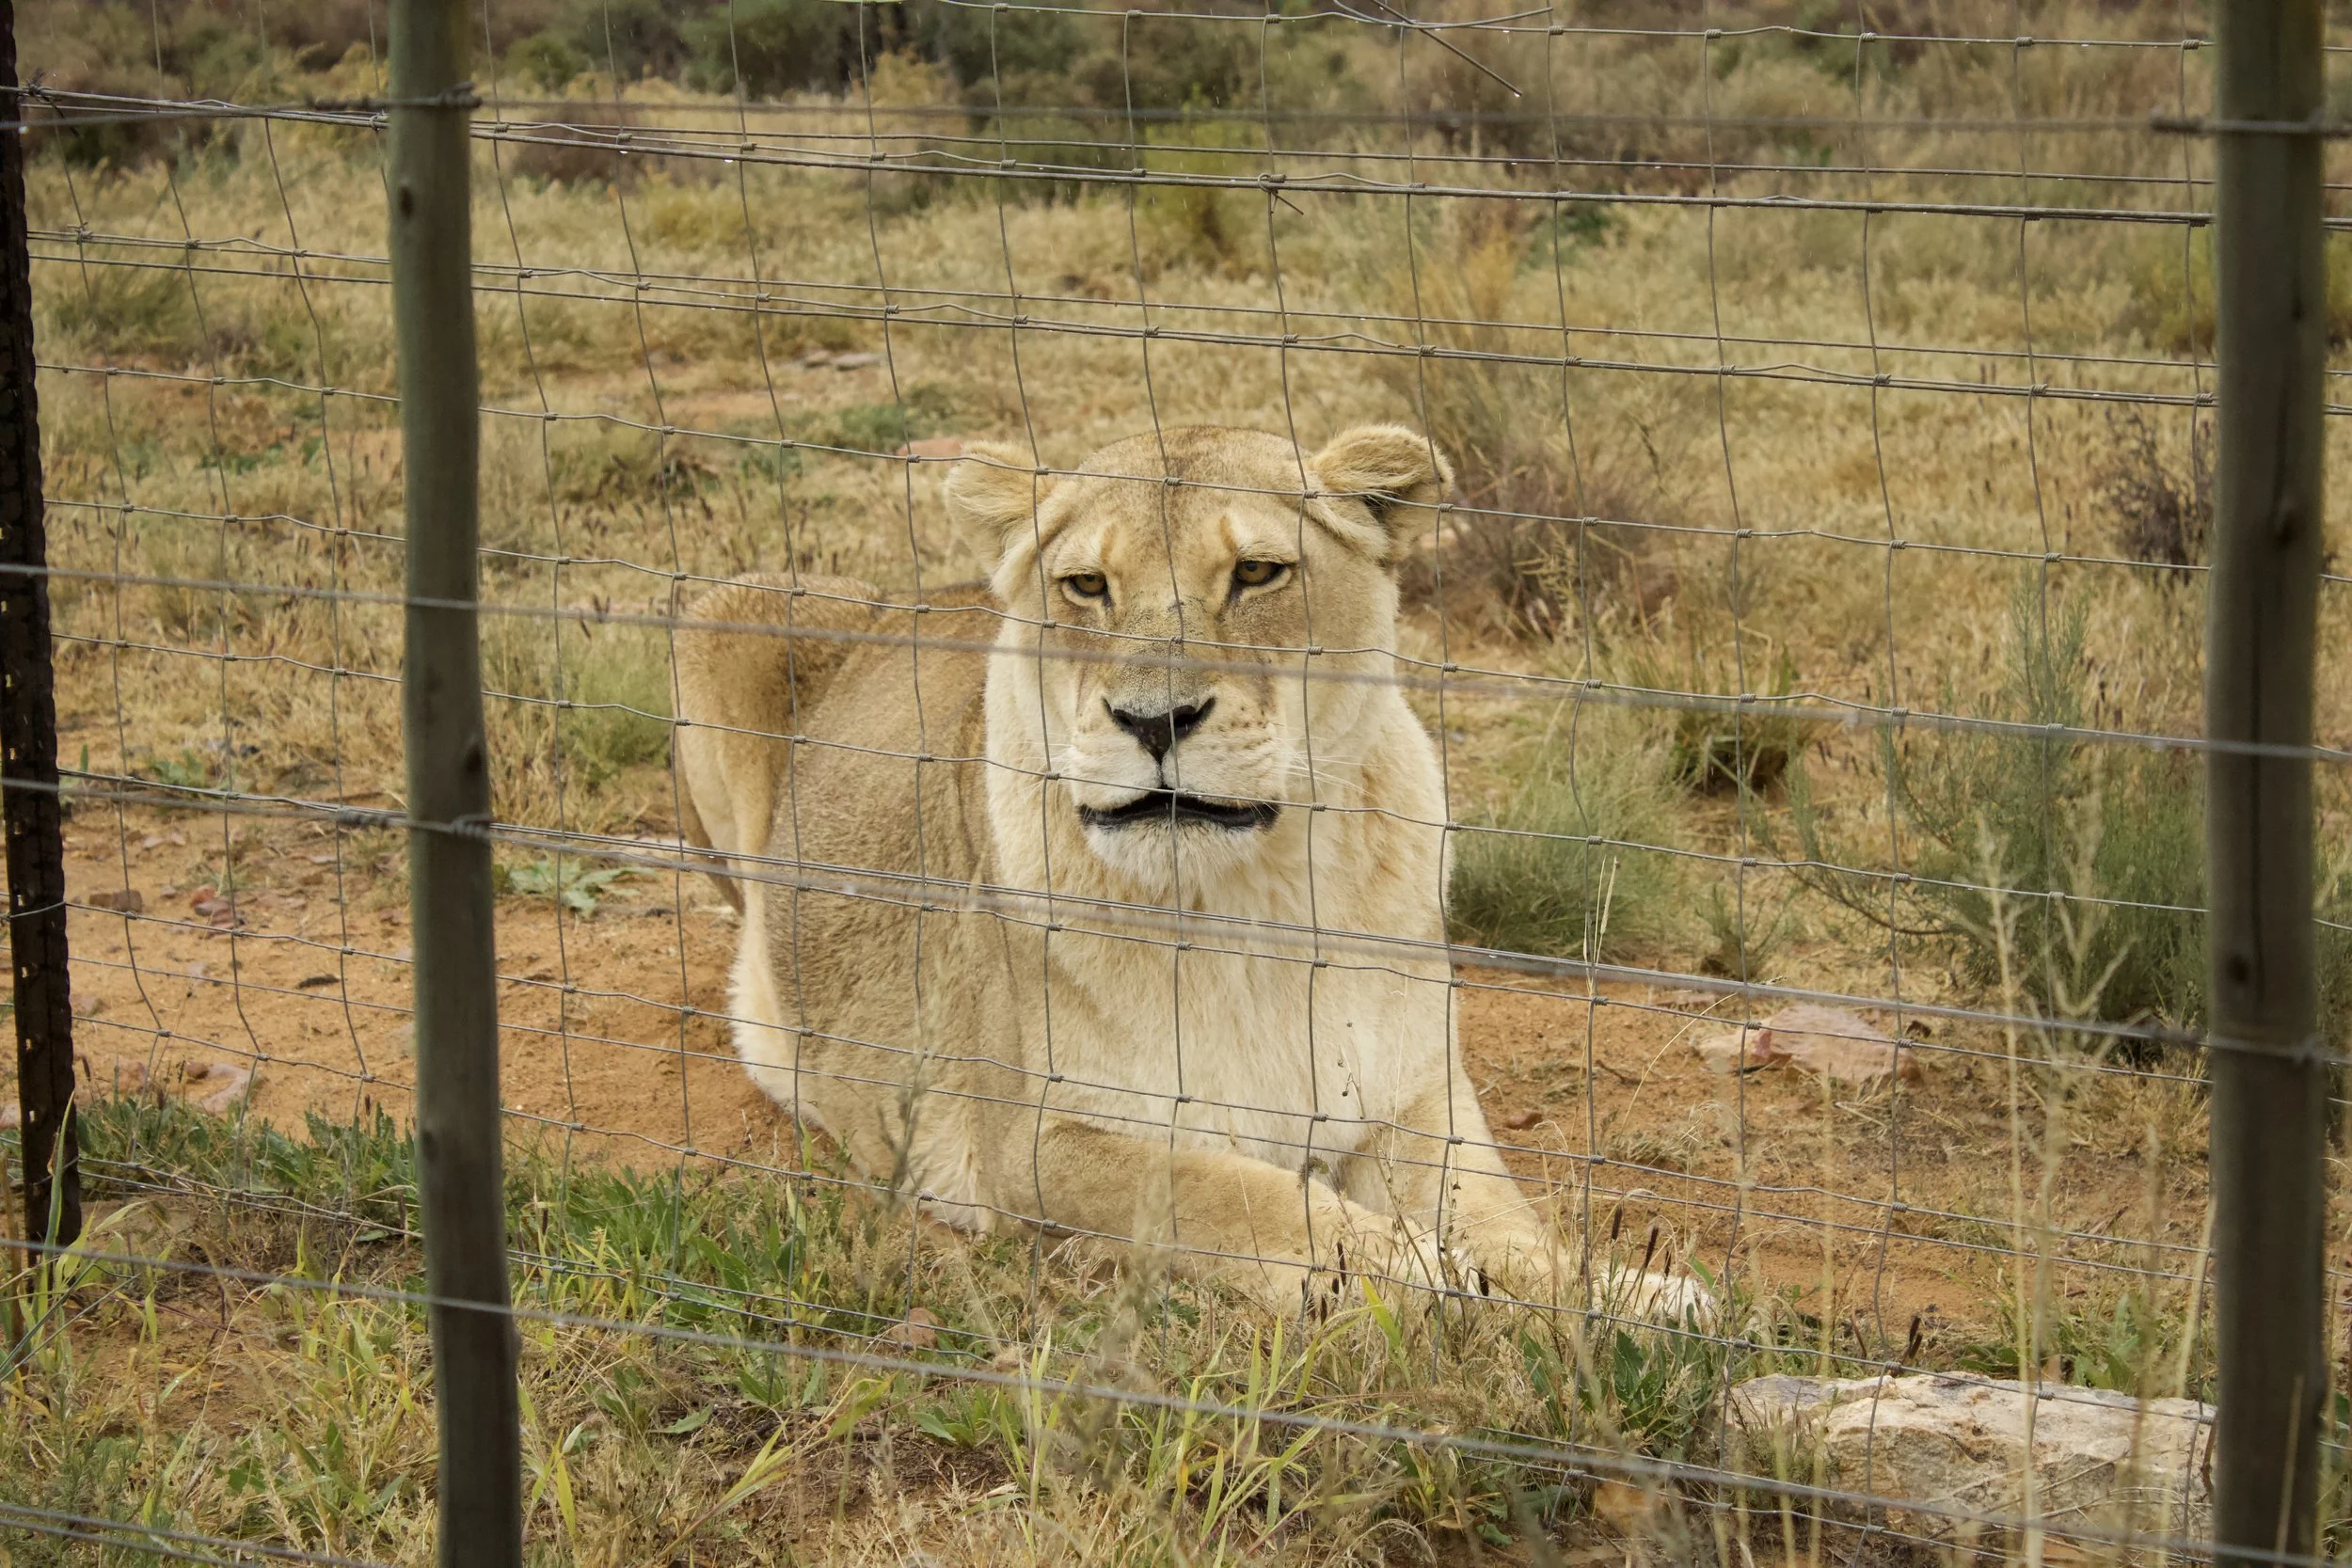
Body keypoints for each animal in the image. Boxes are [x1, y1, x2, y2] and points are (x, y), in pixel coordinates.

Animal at [673, 423, 1597, 1311]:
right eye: (1087, 585)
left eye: (1257, 571)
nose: (1155, 721)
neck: (1251, 904)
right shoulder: (1031, 1141)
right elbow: (1227, 1194)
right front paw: (1414, 1271)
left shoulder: (1414, 1097)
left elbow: (1504, 1221)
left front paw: (1606, 1299)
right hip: (721, 617)